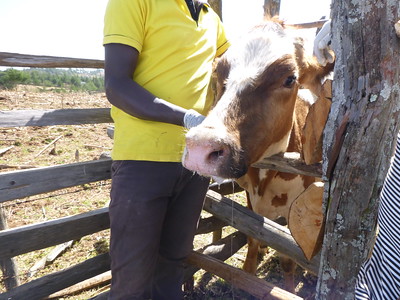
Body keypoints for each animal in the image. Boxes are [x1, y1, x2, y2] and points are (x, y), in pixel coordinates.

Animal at [183, 19, 332, 292]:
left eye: (290, 78)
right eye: (219, 73)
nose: (201, 147)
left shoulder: (294, 209)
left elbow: (288, 258)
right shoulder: (251, 199)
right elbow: (252, 241)